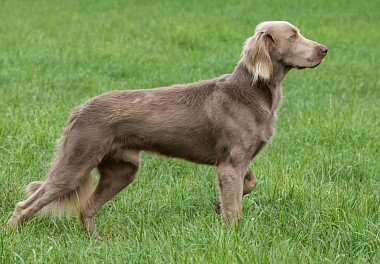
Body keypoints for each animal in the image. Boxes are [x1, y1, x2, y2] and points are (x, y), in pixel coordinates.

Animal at [5, 20, 326, 235]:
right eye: (293, 36)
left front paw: (217, 207)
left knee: (86, 208)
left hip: (122, 170)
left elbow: (249, 186)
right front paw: (232, 237)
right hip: (76, 162)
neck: (252, 93)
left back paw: (95, 241)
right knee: (27, 205)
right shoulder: (229, 164)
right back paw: (12, 236)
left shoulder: (241, 160)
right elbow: (235, 209)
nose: (324, 49)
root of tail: (79, 109)